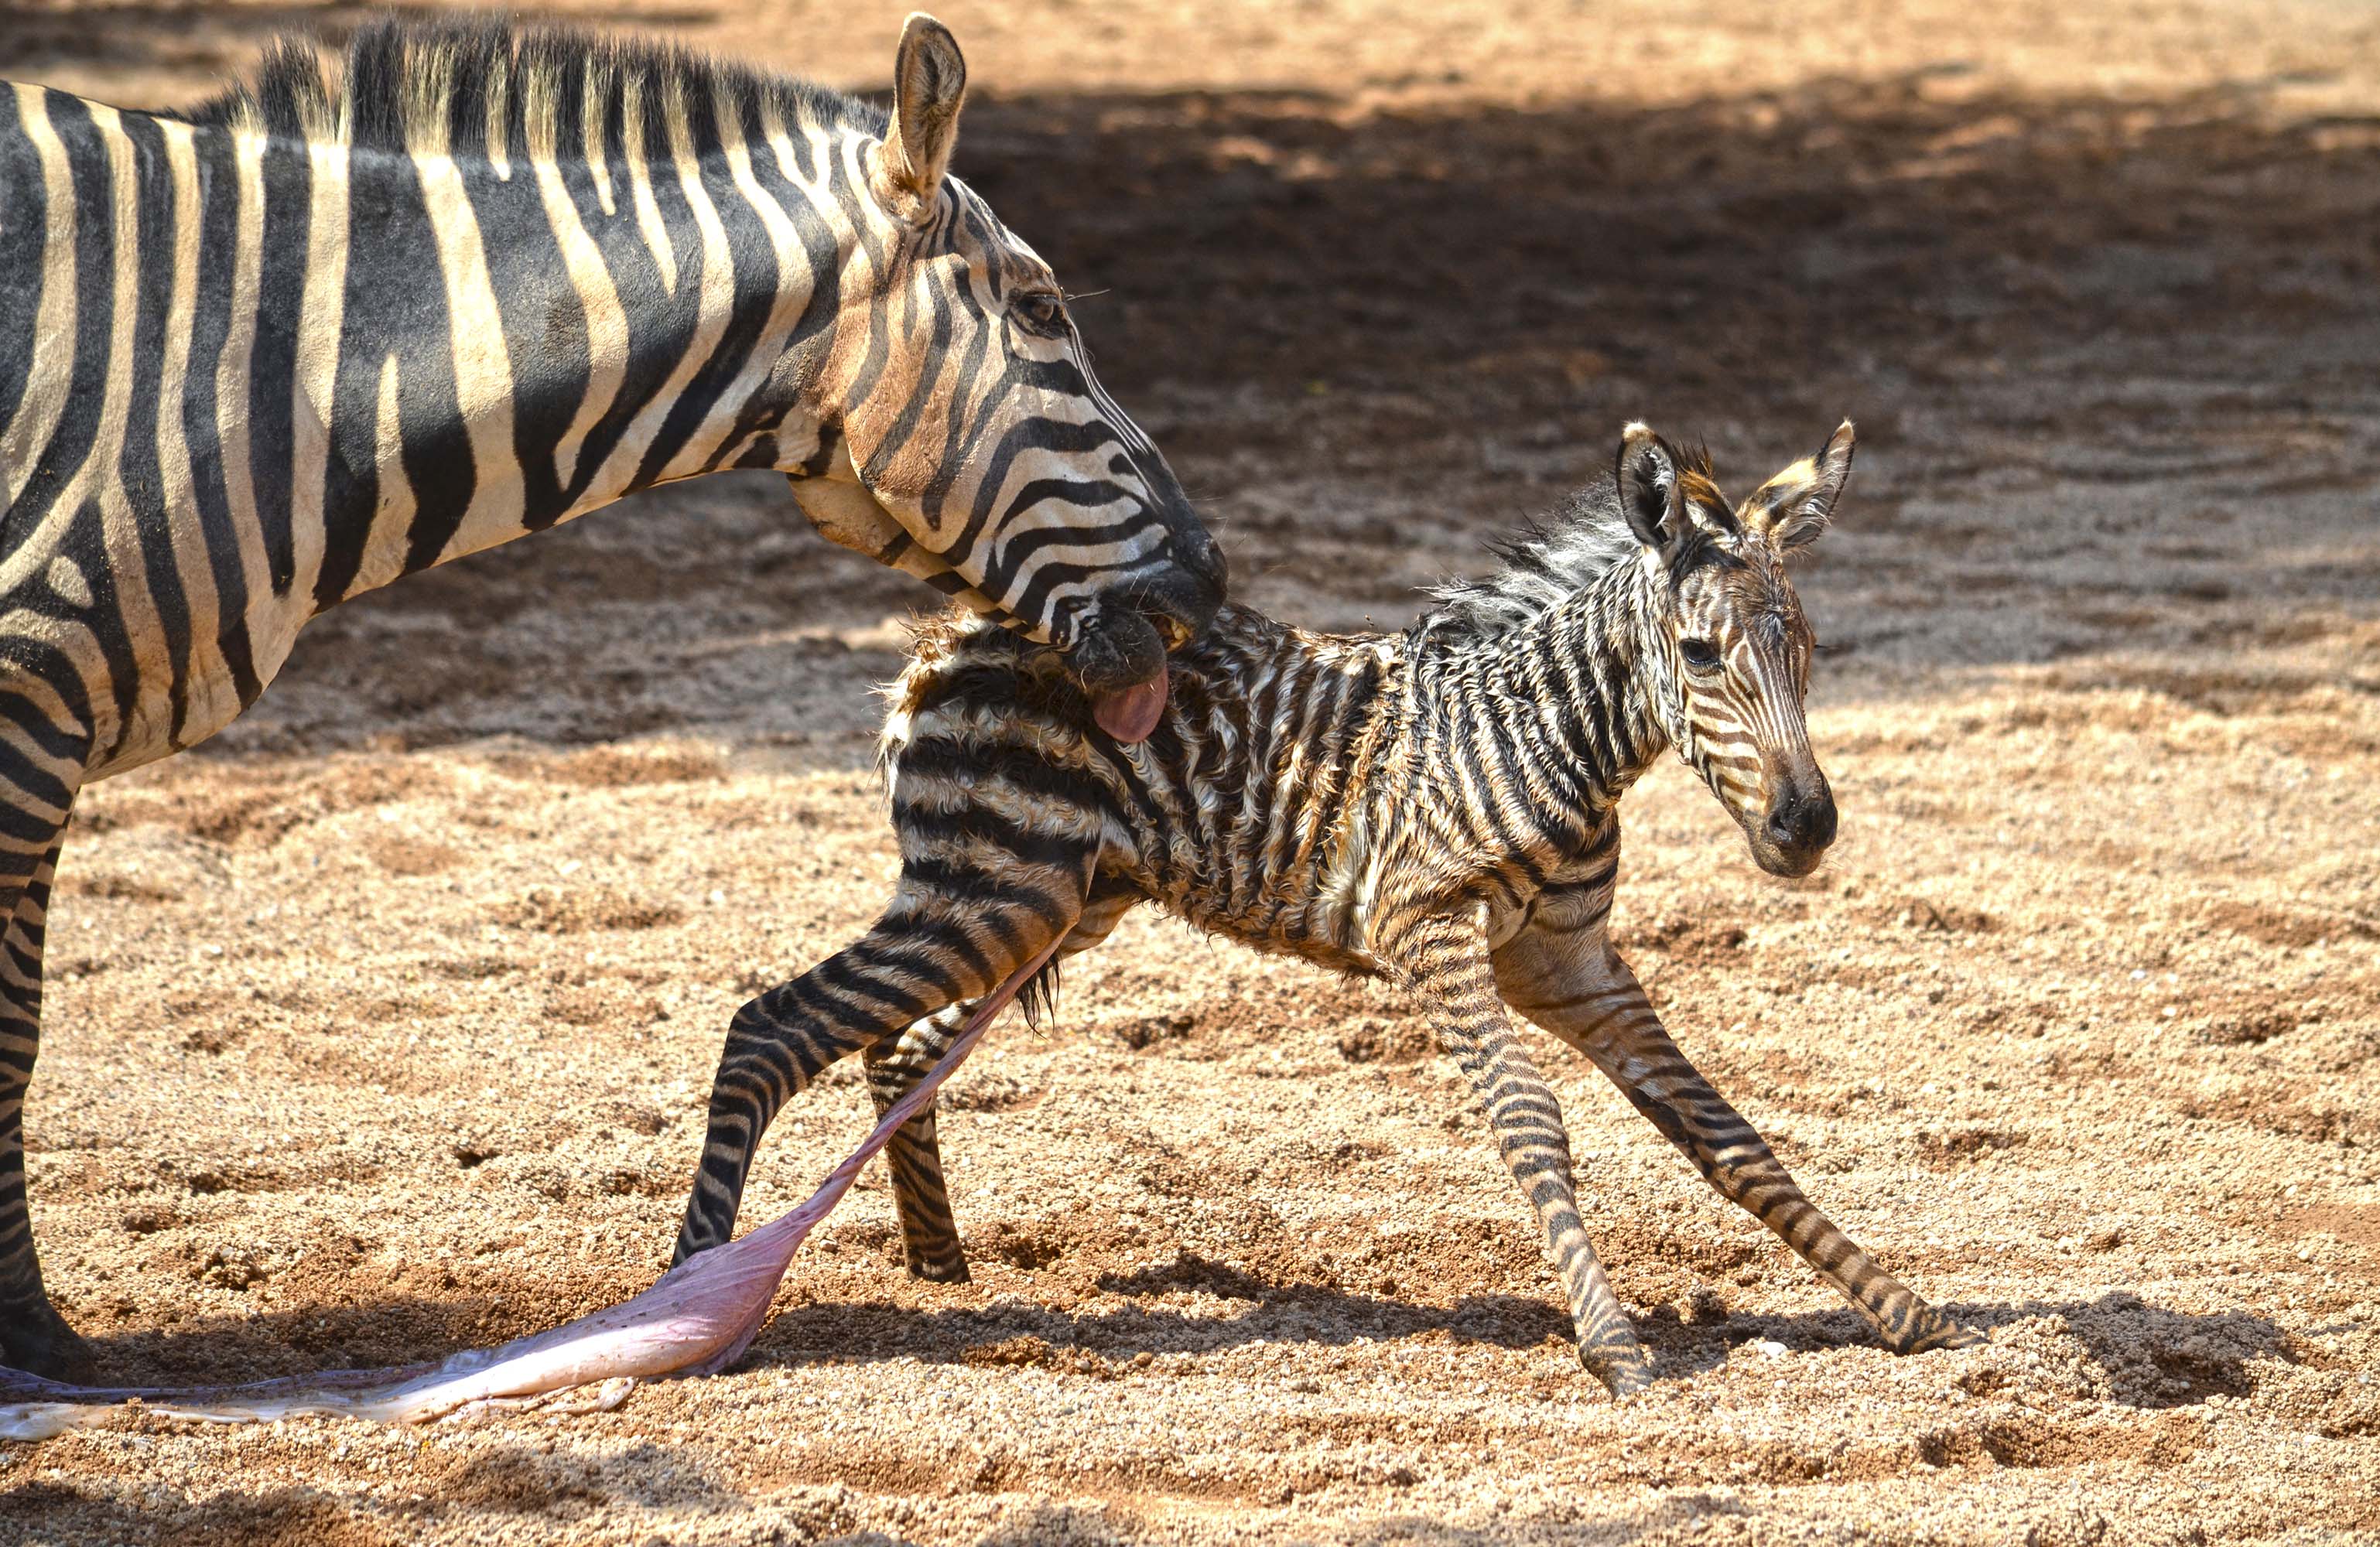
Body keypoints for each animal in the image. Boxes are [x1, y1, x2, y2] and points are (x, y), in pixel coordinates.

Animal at [0, 18, 1228, 1371]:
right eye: (1044, 310)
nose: (1212, 582)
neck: (267, 378)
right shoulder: (28, 703)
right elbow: (14, 1036)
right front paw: (34, 1333)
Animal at [680, 416, 1980, 1389]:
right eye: (1703, 657)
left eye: (1807, 647)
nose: (1805, 828)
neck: (1554, 741)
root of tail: (950, 636)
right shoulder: (1432, 935)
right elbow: (1532, 1123)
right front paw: (1613, 1347)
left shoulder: (1570, 962)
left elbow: (1724, 1133)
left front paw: (1903, 1310)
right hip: (990, 894)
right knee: (772, 1029)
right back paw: (692, 1303)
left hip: (1047, 904)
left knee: (895, 1052)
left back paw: (940, 1267)